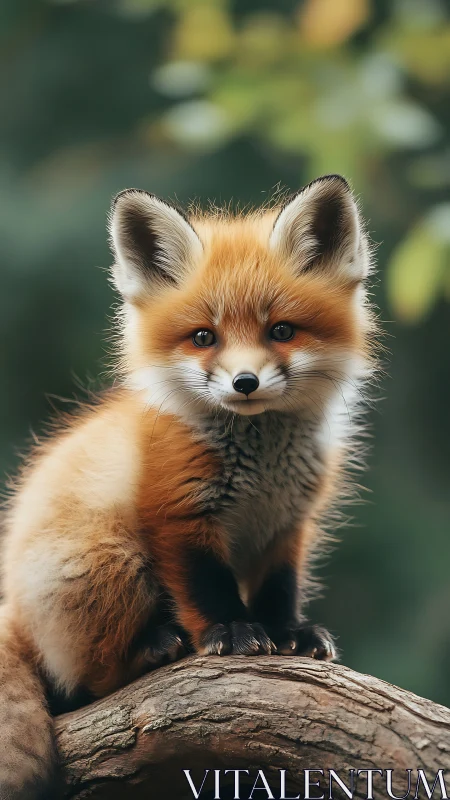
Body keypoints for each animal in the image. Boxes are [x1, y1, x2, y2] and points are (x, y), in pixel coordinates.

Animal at [0, 174, 376, 798]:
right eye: (204, 337)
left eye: (281, 330)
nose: (245, 382)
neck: (261, 466)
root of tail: (15, 609)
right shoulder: (177, 513)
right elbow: (206, 588)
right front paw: (232, 631)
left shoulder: (288, 523)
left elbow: (279, 589)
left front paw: (287, 634)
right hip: (110, 562)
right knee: (83, 686)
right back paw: (151, 650)